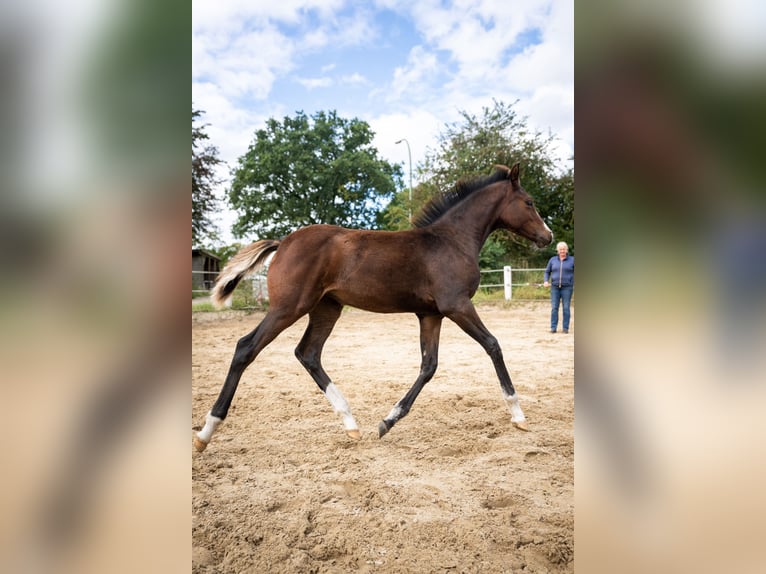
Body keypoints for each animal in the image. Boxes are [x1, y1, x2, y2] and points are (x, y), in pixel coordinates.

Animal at [194, 163, 553, 452]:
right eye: (529, 202)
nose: (548, 236)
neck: (451, 241)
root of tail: (282, 243)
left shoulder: (431, 314)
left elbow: (429, 365)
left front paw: (388, 421)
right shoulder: (457, 306)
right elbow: (493, 345)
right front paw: (518, 415)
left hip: (326, 308)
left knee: (308, 353)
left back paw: (351, 423)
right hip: (288, 307)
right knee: (246, 348)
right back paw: (206, 432)